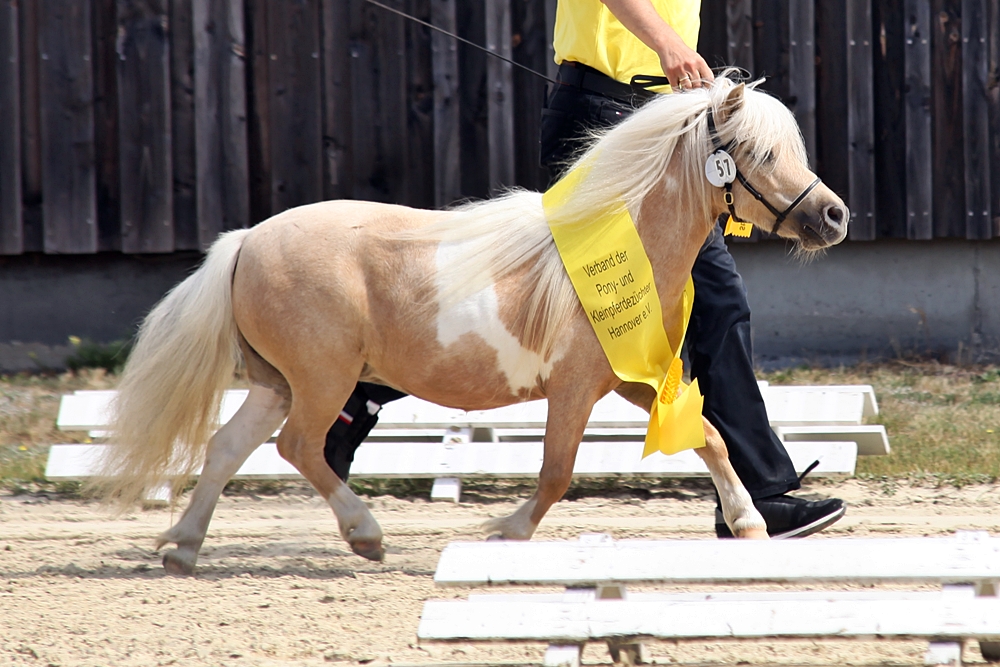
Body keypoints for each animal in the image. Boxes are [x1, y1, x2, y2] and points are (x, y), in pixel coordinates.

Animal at [93, 77, 848, 575]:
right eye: (763, 154)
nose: (836, 216)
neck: (623, 244)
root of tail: (246, 240)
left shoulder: (626, 380)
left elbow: (712, 435)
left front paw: (751, 524)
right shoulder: (574, 389)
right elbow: (556, 473)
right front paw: (504, 534)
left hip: (280, 381)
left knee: (228, 447)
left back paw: (183, 546)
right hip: (321, 379)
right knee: (299, 447)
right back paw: (364, 533)